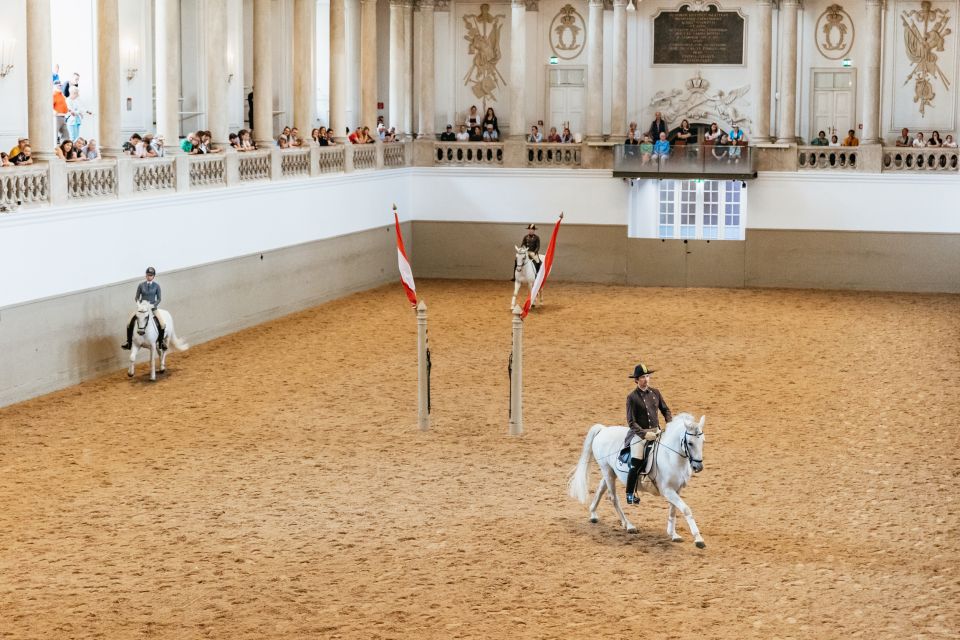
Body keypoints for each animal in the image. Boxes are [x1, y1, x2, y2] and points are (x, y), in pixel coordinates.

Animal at [568, 416, 708, 552]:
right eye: (690, 443)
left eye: (703, 441)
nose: (698, 467)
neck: (671, 456)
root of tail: (603, 430)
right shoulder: (667, 490)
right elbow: (686, 509)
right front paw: (699, 540)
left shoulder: (677, 489)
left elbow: (673, 510)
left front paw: (673, 534)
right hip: (606, 469)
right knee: (613, 497)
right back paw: (629, 525)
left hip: (610, 472)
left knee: (601, 488)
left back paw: (593, 513)